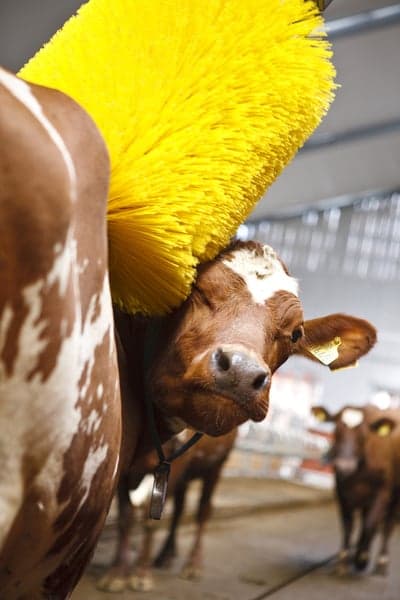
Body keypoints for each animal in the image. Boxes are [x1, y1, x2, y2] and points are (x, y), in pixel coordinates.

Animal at [97, 428, 238, 592]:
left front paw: (142, 575)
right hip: (186, 477)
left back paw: (193, 565)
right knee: (179, 508)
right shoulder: (125, 468)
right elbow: (125, 517)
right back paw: (165, 556)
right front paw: (116, 574)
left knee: (203, 510)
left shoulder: (174, 464)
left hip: (216, 466)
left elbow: (150, 519)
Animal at [312, 406, 400, 576]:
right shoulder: (342, 493)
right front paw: (345, 560)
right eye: (336, 430)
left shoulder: (382, 494)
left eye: (363, 436)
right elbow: (348, 525)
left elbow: (370, 525)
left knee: (387, 526)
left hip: (395, 500)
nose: (344, 465)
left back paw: (382, 562)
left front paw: (362, 558)